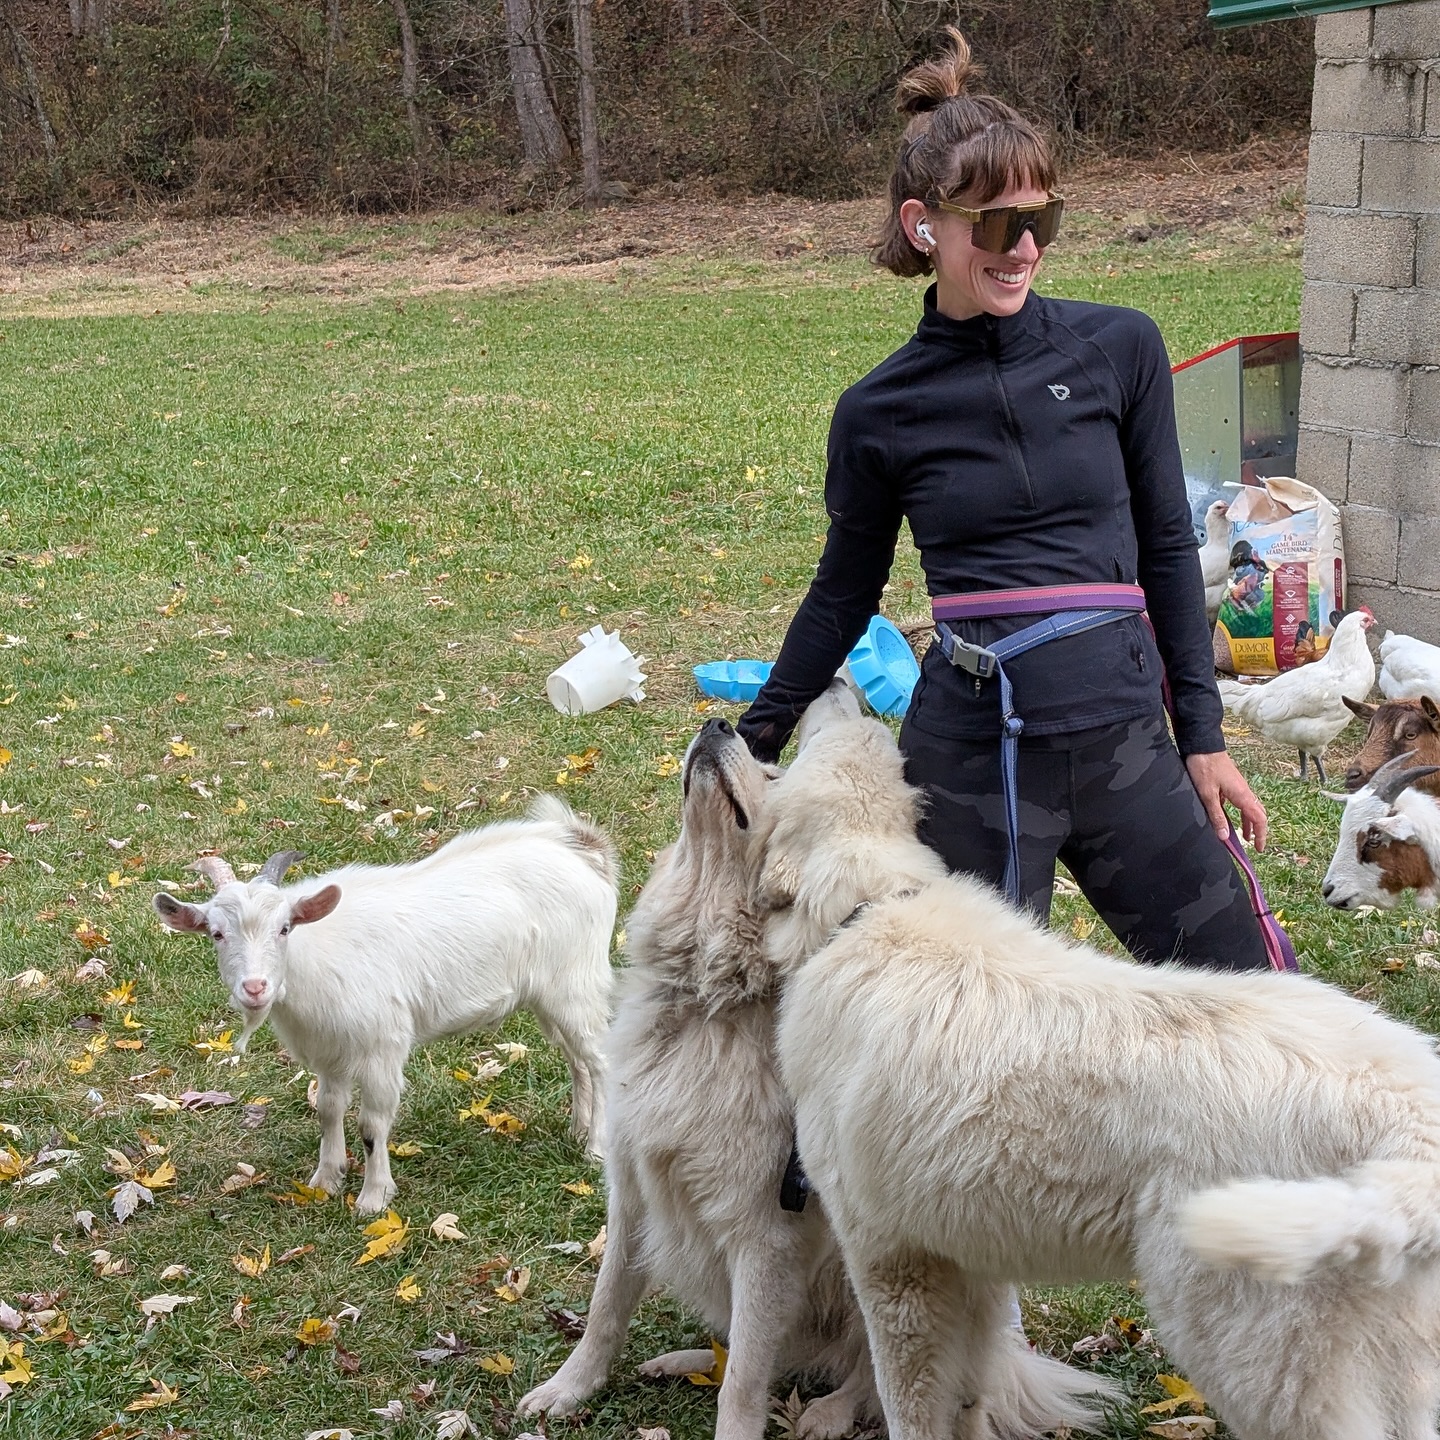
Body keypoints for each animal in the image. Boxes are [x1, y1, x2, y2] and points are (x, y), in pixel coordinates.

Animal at [156, 794, 619, 1209]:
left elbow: (372, 1124)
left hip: (576, 984)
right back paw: (578, 1131)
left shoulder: (382, 1046)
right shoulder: (330, 1050)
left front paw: (373, 1198)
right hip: (551, 997)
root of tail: (582, 849)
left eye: (285, 928)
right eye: (216, 933)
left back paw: (596, 1148)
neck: (313, 956)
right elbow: (328, 1109)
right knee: (576, 1060)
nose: (255, 988)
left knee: (600, 1062)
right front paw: (326, 1180)